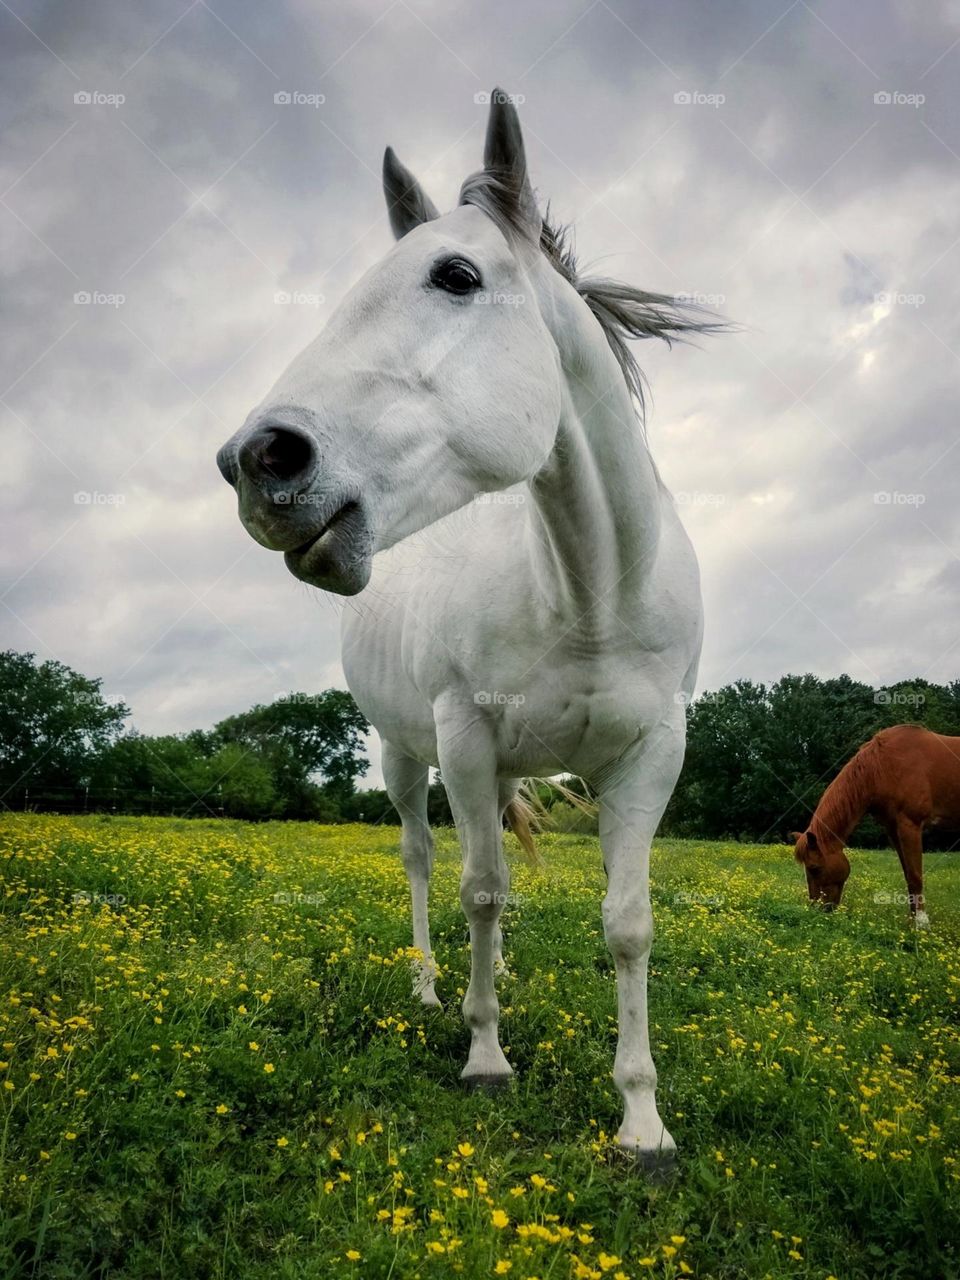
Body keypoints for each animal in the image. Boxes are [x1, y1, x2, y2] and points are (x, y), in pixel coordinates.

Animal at [215, 90, 721, 1174]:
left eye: (456, 276)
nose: (260, 460)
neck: (588, 588)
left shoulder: (651, 755)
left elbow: (627, 924)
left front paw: (642, 1118)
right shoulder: (467, 739)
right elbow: (480, 890)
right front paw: (486, 1053)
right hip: (408, 758)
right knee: (422, 861)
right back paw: (431, 987)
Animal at [791, 723, 960, 927]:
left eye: (814, 868)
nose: (818, 910)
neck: (882, 765)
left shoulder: (910, 825)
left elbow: (915, 875)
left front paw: (921, 923)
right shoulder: (893, 829)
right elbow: (908, 875)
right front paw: (911, 921)